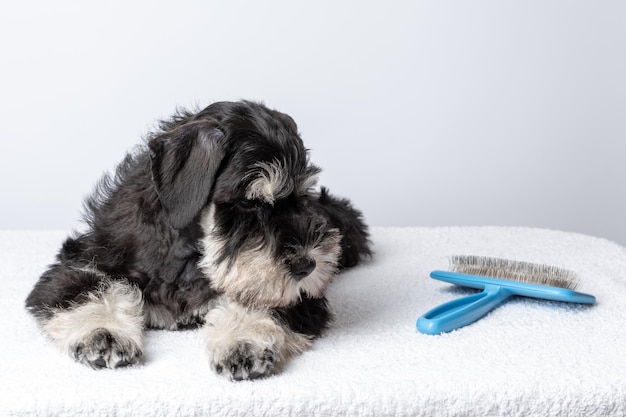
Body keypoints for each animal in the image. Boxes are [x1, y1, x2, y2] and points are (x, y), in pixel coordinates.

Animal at [25, 101, 370, 380]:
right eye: (248, 203)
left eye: (302, 195)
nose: (308, 265)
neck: (192, 255)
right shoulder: (83, 258)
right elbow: (86, 288)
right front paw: (103, 333)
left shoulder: (298, 297)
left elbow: (261, 300)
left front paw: (243, 340)